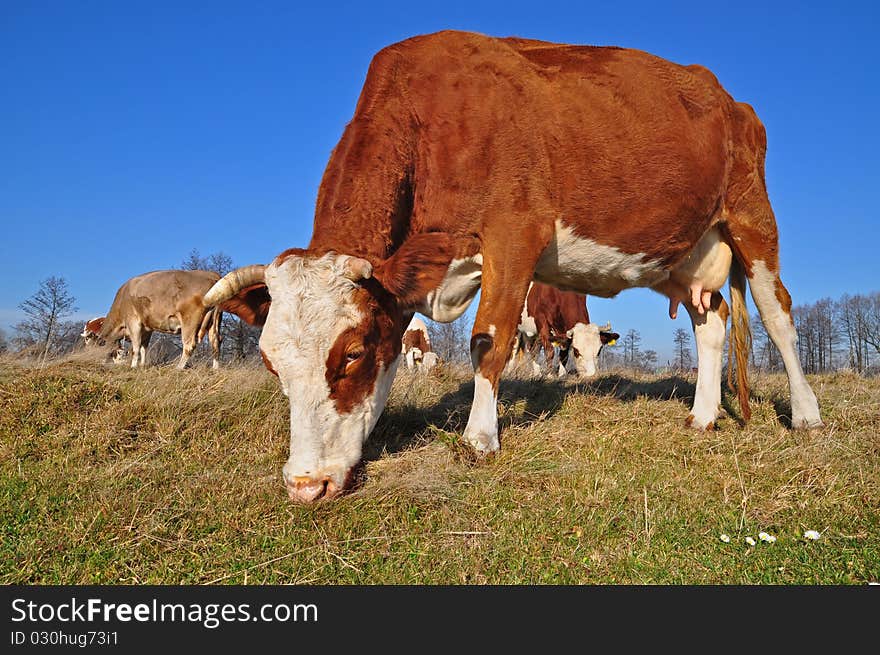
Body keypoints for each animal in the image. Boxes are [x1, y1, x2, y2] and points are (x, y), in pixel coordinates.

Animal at [206, 29, 824, 502]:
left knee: (779, 316)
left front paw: (480, 440)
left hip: (751, 218)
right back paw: (703, 416)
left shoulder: (515, 235)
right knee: (711, 321)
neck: (431, 119)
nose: (307, 485)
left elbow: (488, 339)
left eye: (354, 352)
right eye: (270, 363)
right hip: (685, 254)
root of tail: (726, 97)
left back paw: (806, 416)